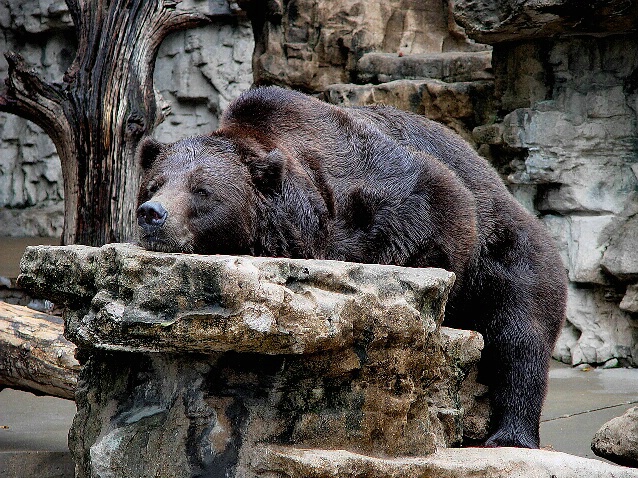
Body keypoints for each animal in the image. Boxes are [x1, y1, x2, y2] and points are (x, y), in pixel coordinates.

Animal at [138, 85, 568, 448]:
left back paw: (510, 434)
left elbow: (439, 204)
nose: (152, 213)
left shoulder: (379, 186)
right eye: (154, 183)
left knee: (519, 338)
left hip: (512, 259)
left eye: (201, 190)